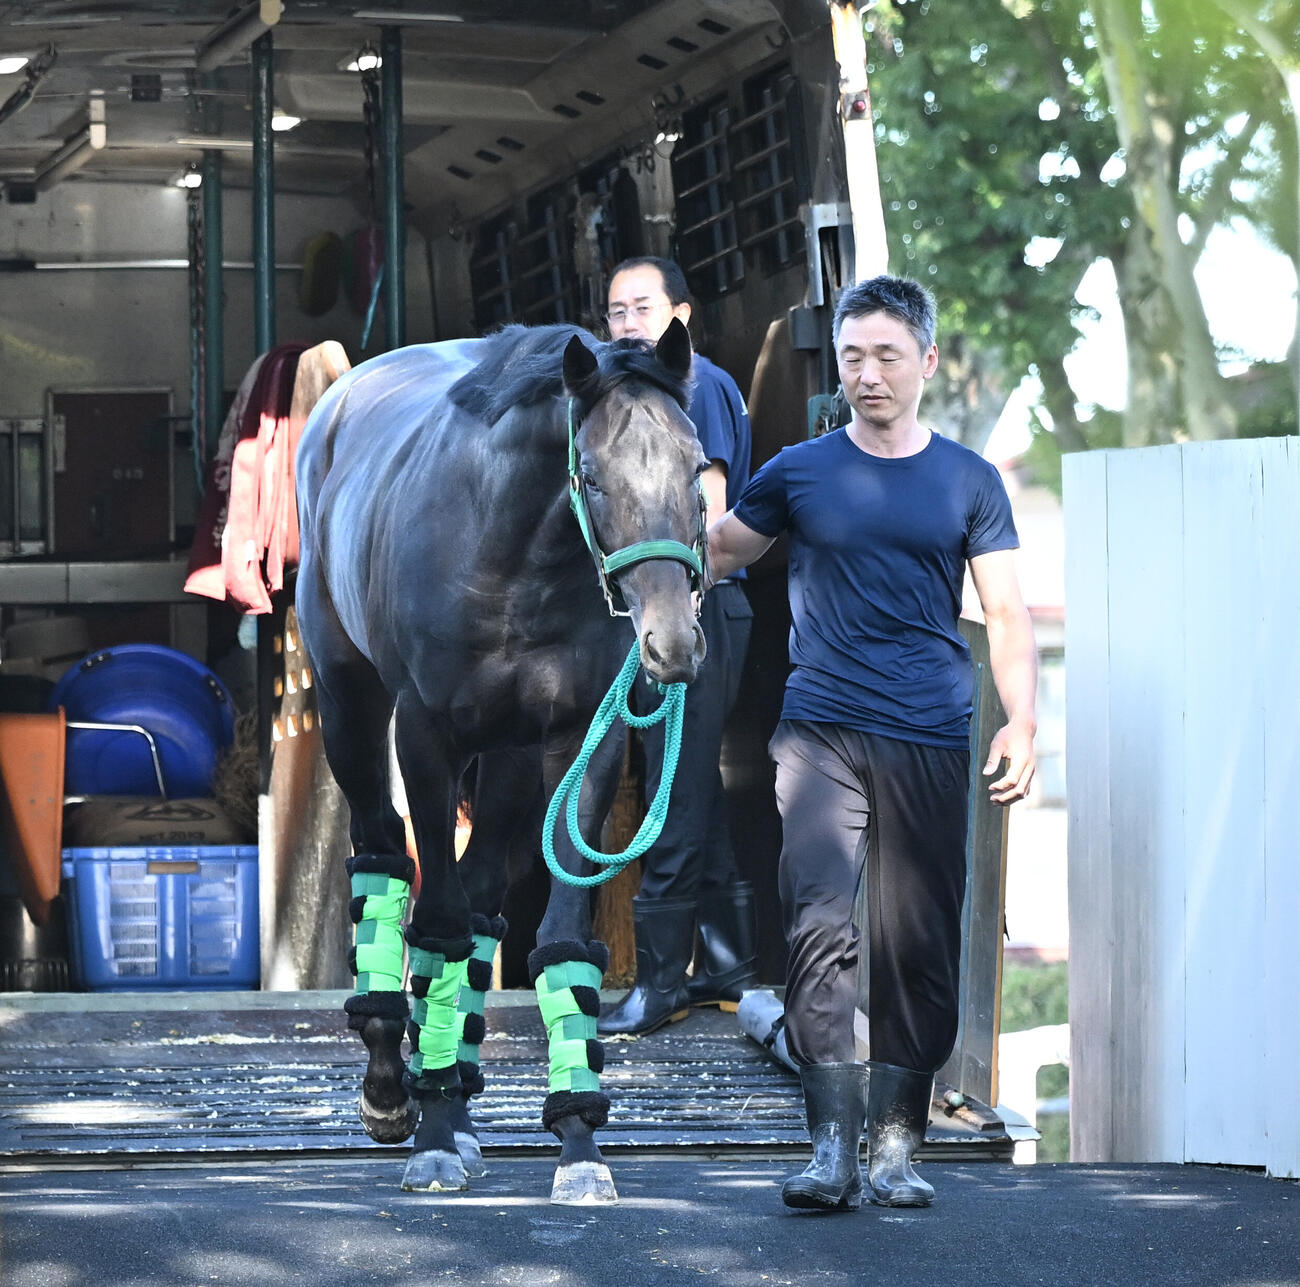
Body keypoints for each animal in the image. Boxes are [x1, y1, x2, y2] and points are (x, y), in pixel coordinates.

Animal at [294, 318, 708, 1203]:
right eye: (593, 475)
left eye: (697, 466)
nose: (671, 642)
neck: (514, 556)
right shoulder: (423, 737)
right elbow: (438, 922)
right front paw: (431, 1130)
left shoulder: (579, 740)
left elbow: (554, 940)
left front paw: (578, 1138)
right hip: (351, 707)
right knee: (383, 856)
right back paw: (396, 1082)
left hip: (512, 760)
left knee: (484, 905)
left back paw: (457, 1086)